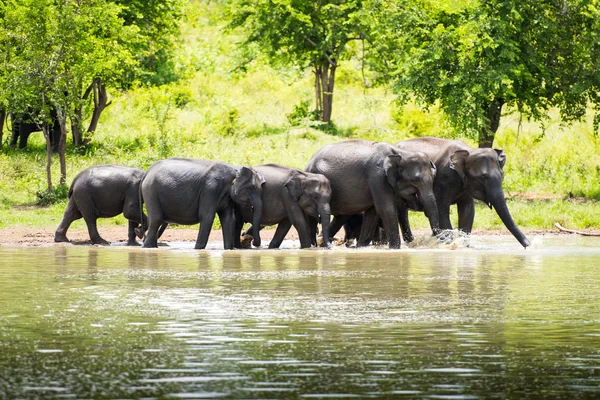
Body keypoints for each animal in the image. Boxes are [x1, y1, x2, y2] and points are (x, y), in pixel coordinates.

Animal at [304, 139, 440, 248]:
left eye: (434, 177)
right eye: (416, 181)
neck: (400, 153)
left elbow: (373, 212)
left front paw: (361, 247)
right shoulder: (377, 177)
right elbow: (386, 209)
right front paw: (395, 249)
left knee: (340, 217)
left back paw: (321, 243)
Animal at [396, 139, 532, 248]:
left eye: (502, 176)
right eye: (482, 177)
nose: (529, 246)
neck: (469, 152)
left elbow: (468, 211)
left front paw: (463, 246)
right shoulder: (443, 179)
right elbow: (442, 210)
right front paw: (450, 244)